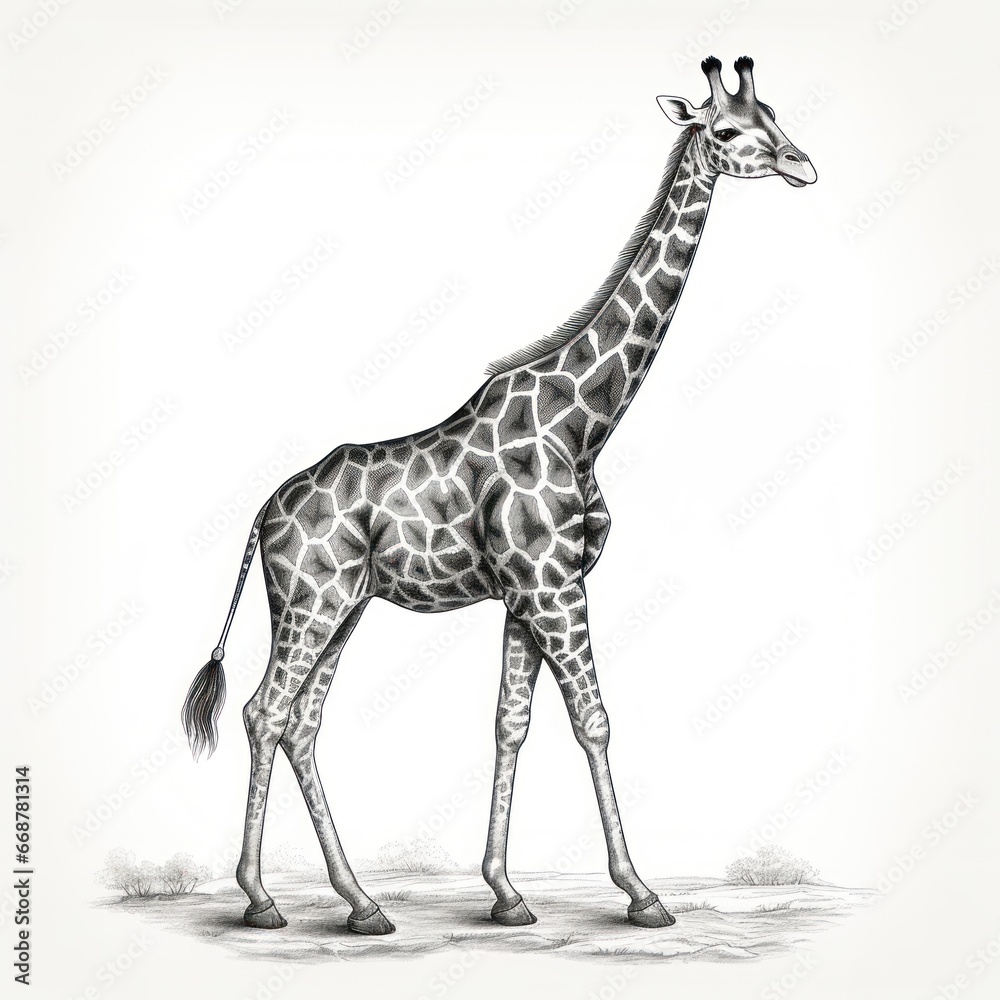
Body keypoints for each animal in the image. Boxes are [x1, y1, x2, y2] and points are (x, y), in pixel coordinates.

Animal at [182, 55, 816, 935]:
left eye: (776, 114)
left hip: (344, 607)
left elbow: (510, 725)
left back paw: (361, 903)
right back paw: (260, 899)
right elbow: (594, 721)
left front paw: (507, 893)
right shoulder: (552, 586)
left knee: (301, 723)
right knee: (264, 712)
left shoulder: (528, 592)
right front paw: (641, 893)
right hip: (313, 600)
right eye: (726, 129)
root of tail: (260, 516)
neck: (582, 423)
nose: (803, 166)